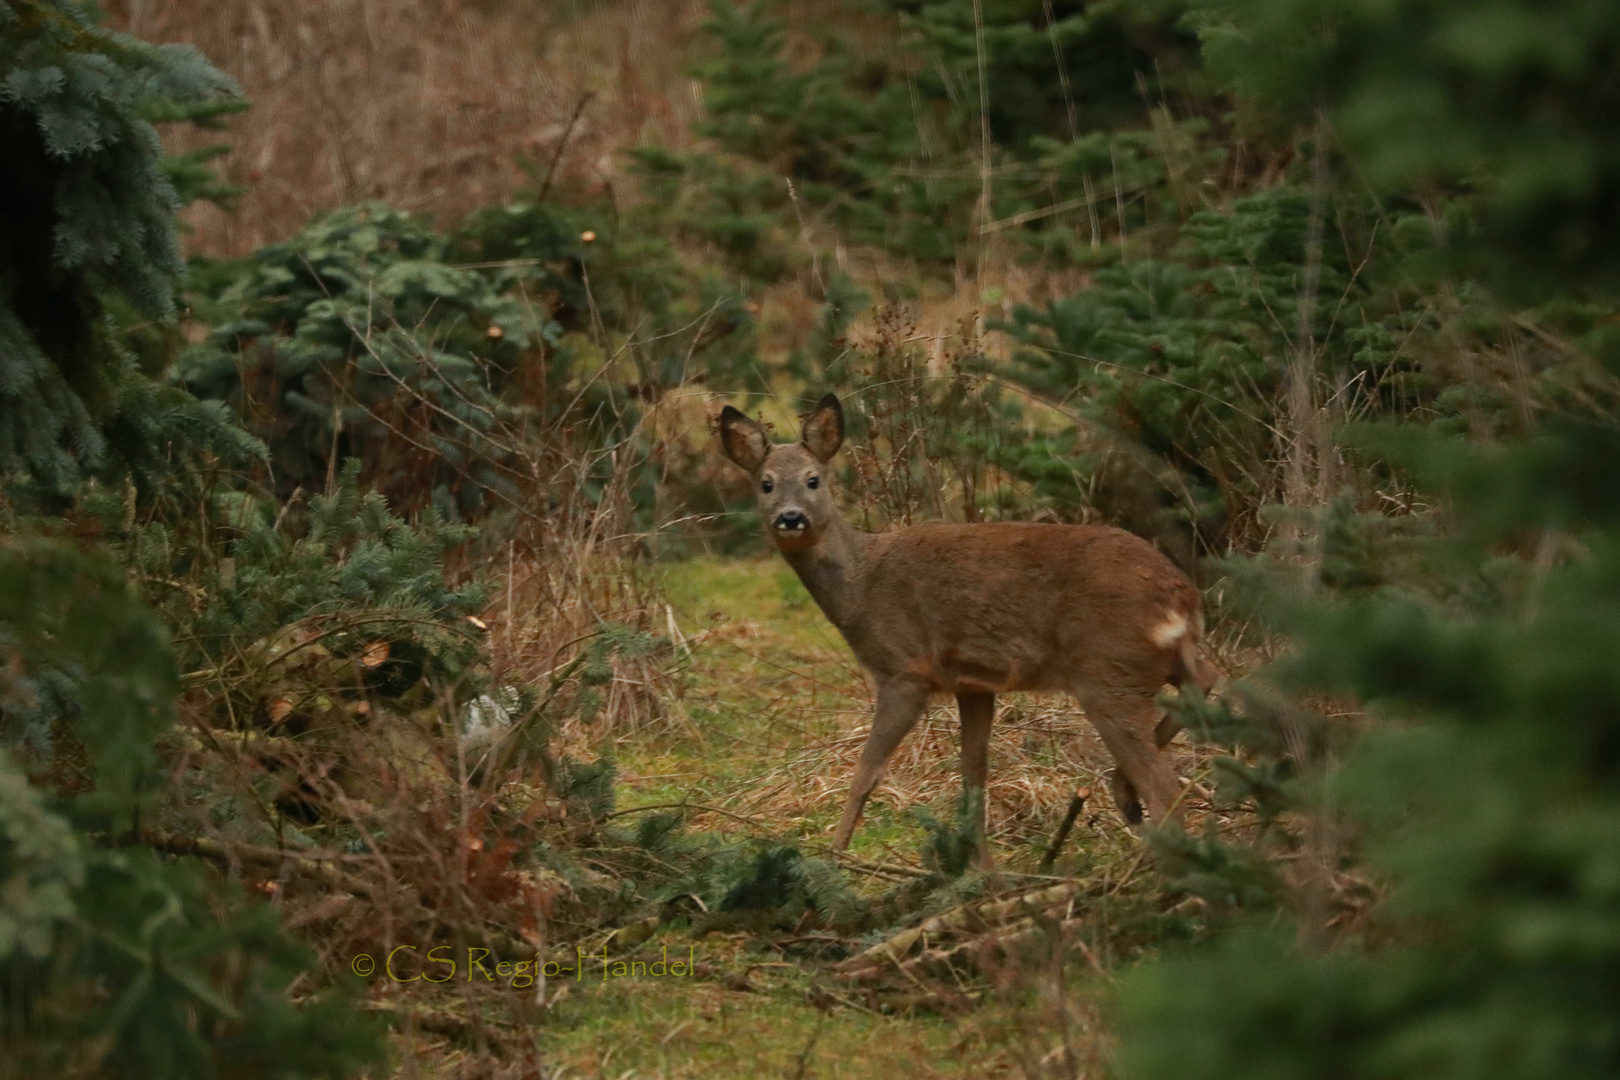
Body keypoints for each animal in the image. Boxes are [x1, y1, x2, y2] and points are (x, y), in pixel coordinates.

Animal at [716, 395, 1218, 861]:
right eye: (765, 484)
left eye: (813, 480)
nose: (791, 517)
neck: (861, 587)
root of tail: (1182, 596)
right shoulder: (973, 683)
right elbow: (972, 777)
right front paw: (983, 874)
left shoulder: (905, 670)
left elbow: (866, 774)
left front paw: (835, 859)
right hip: (1150, 663)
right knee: (1206, 684)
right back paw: (1124, 794)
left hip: (1108, 671)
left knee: (1166, 787)